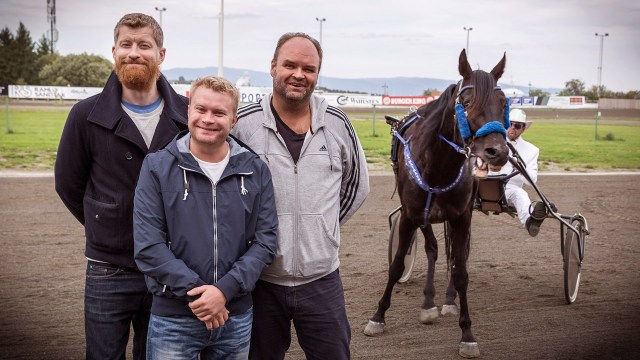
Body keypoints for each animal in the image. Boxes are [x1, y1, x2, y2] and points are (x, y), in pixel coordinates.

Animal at [364, 49, 510, 358]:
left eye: (504, 103)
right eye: (466, 102)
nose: (498, 152)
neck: (440, 165)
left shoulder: (461, 216)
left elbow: (461, 270)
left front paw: (467, 333)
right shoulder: (411, 215)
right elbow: (398, 264)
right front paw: (378, 317)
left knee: (456, 255)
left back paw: (446, 300)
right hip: (422, 215)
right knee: (432, 248)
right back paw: (429, 302)